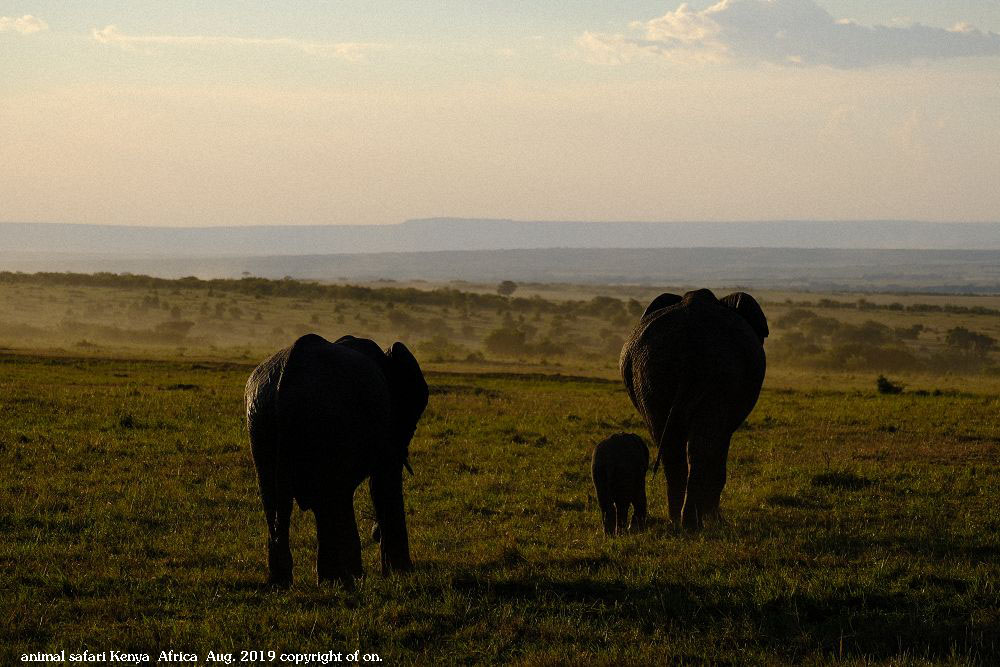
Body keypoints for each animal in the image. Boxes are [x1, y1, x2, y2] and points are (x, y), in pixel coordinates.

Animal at [247, 334, 430, 584]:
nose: (375, 533)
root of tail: (286, 377)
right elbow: (384, 481)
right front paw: (401, 572)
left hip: (261, 420)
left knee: (277, 498)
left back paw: (285, 581)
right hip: (326, 419)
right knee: (331, 496)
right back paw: (339, 580)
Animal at [620, 290, 768, 528]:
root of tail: (690, 345)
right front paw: (716, 519)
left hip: (649, 372)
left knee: (669, 444)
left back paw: (677, 520)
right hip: (720, 375)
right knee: (702, 447)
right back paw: (694, 523)